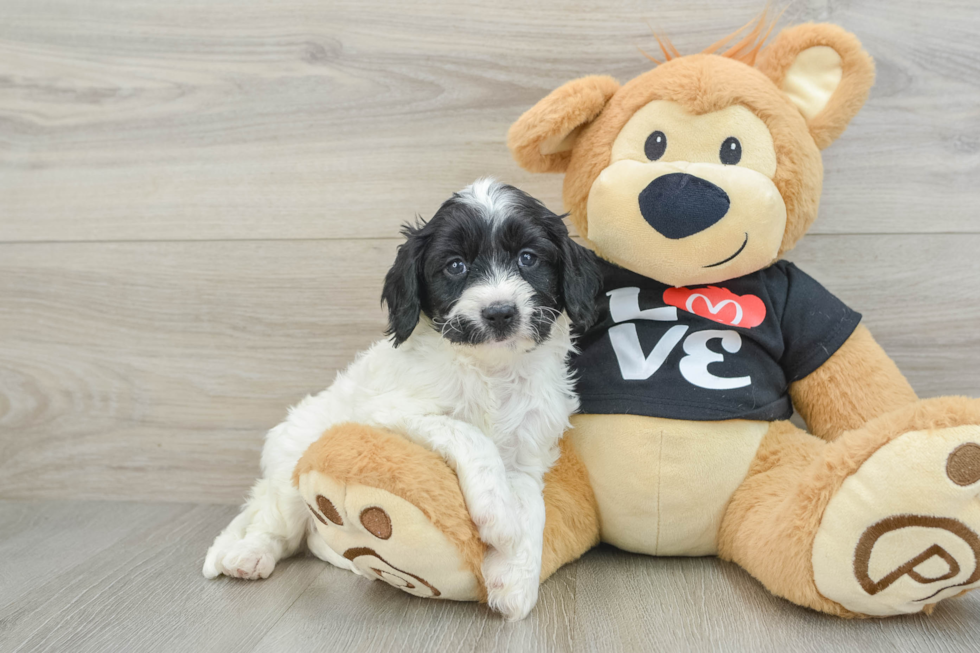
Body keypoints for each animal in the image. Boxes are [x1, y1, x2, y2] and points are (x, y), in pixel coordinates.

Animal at [206, 180, 600, 620]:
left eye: (528, 258)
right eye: (456, 266)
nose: (499, 312)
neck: (492, 371)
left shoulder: (529, 451)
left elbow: (534, 505)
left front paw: (516, 578)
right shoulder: (385, 411)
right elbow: (470, 435)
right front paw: (499, 519)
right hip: (291, 471)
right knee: (277, 526)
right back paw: (249, 554)